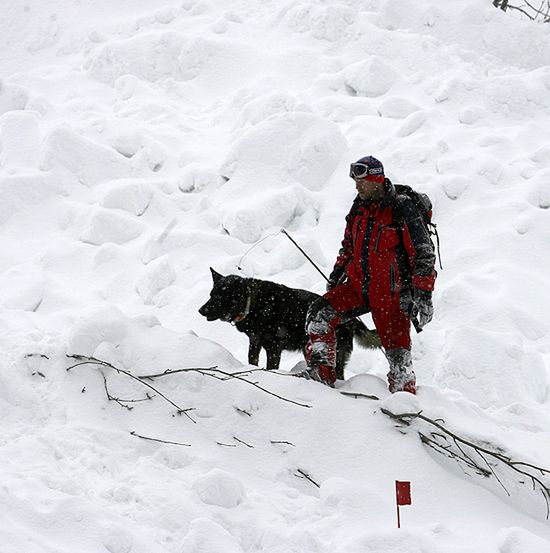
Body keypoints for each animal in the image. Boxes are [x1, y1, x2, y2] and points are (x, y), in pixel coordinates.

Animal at [199, 268, 384, 380]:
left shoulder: (274, 348)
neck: (252, 303)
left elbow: (271, 367)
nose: (200, 310)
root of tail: (352, 320)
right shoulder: (255, 342)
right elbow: (253, 362)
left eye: (218, 297)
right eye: (211, 294)